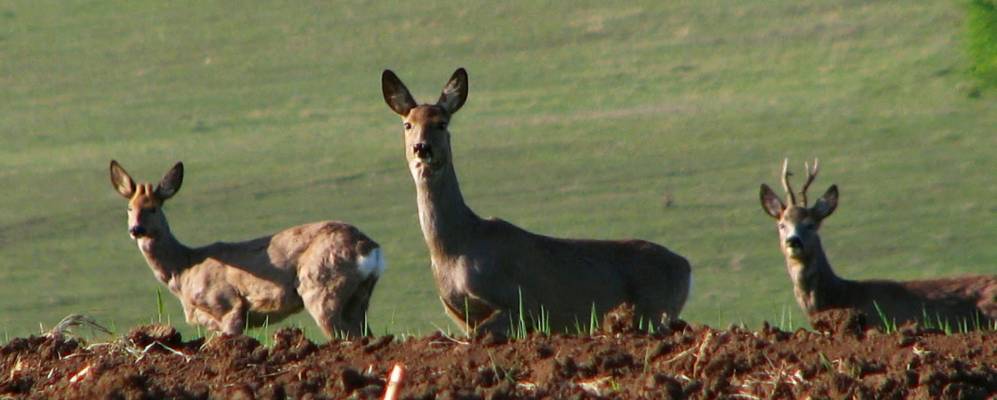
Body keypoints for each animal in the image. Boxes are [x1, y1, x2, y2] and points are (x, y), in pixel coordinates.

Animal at [110, 159, 386, 338]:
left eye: (153, 208)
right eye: (129, 208)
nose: (136, 229)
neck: (184, 268)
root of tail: (369, 247)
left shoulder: (228, 306)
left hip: (322, 289)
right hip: (359, 297)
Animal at [382, 68, 692, 334]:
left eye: (441, 123)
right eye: (408, 124)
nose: (421, 147)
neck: (455, 247)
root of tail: (686, 267)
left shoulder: (521, 303)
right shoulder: (459, 315)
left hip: (655, 309)